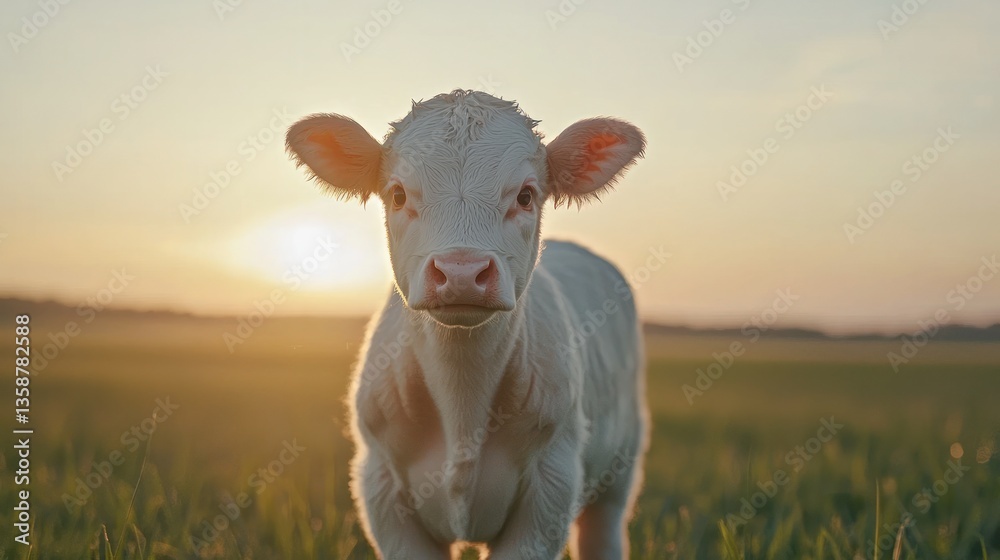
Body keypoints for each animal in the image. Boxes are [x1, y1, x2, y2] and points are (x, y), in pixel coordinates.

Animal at [286, 90, 649, 559]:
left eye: (526, 196)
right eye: (397, 195)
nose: (461, 272)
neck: (461, 400)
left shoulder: (550, 490)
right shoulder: (382, 489)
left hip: (618, 473)